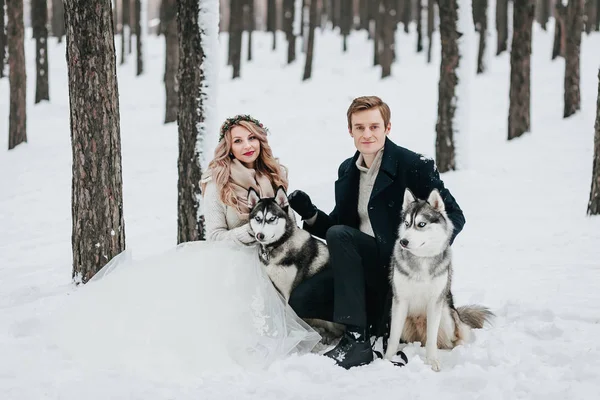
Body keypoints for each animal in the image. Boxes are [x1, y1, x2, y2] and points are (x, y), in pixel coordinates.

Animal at [384, 188, 492, 372]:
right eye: (407, 223)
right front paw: (387, 360)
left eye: (421, 224)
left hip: (446, 316)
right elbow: (393, 337)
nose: (403, 241)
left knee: (453, 339)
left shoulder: (435, 302)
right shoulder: (400, 302)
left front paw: (432, 361)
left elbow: (432, 339)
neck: (421, 260)